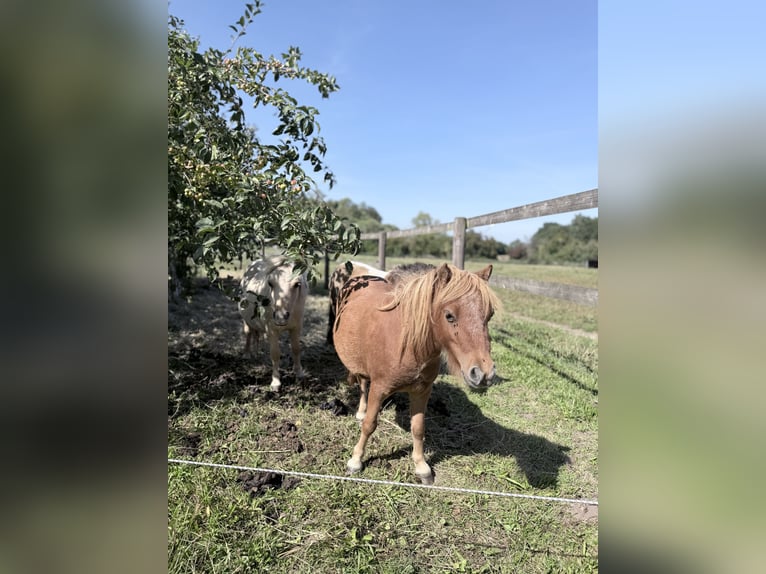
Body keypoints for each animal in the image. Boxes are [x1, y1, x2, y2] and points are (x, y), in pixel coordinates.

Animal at [239, 255, 308, 391]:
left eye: (297, 284)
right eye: (270, 283)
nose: (281, 317)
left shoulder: (296, 328)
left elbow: (296, 349)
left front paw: (299, 373)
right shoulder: (272, 331)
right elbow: (275, 354)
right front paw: (276, 382)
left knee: (257, 336)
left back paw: (257, 354)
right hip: (247, 321)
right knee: (248, 334)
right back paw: (247, 354)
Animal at [332, 263, 499, 484]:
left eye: (489, 315)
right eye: (449, 315)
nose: (483, 374)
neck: (408, 343)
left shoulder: (422, 391)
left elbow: (418, 429)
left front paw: (422, 467)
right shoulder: (379, 389)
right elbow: (369, 424)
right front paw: (356, 460)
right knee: (363, 385)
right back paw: (360, 412)